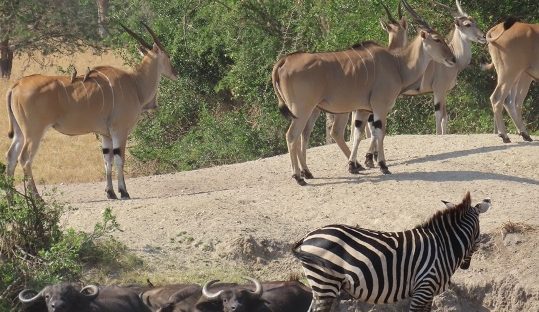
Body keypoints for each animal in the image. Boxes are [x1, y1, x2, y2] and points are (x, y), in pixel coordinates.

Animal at [5, 22, 178, 199]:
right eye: (168, 55)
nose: (176, 72)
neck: (134, 83)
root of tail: (16, 85)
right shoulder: (119, 130)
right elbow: (119, 159)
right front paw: (123, 192)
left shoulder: (105, 134)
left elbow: (107, 160)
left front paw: (110, 193)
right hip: (34, 132)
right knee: (24, 159)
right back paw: (37, 199)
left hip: (20, 133)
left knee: (11, 157)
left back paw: (12, 200)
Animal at [274, 0, 456, 185]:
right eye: (437, 39)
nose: (453, 59)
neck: (397, 64)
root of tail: (284, 61)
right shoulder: (379, 107)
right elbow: (379, 133)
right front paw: (382, 165)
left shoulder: (363, 110)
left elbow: (359, 134)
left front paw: (353, 166)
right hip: (303, 110)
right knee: (292, 135)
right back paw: (298, 177)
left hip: (310, 111)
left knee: (303, 135)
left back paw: (307, 172)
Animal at [294, 193, 492, 312]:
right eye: (478, 232)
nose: (466, 266)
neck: (444, 245)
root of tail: (307, 237)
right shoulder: (423, 288)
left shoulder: (428, 294)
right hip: (326, 284)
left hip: (320, 287)